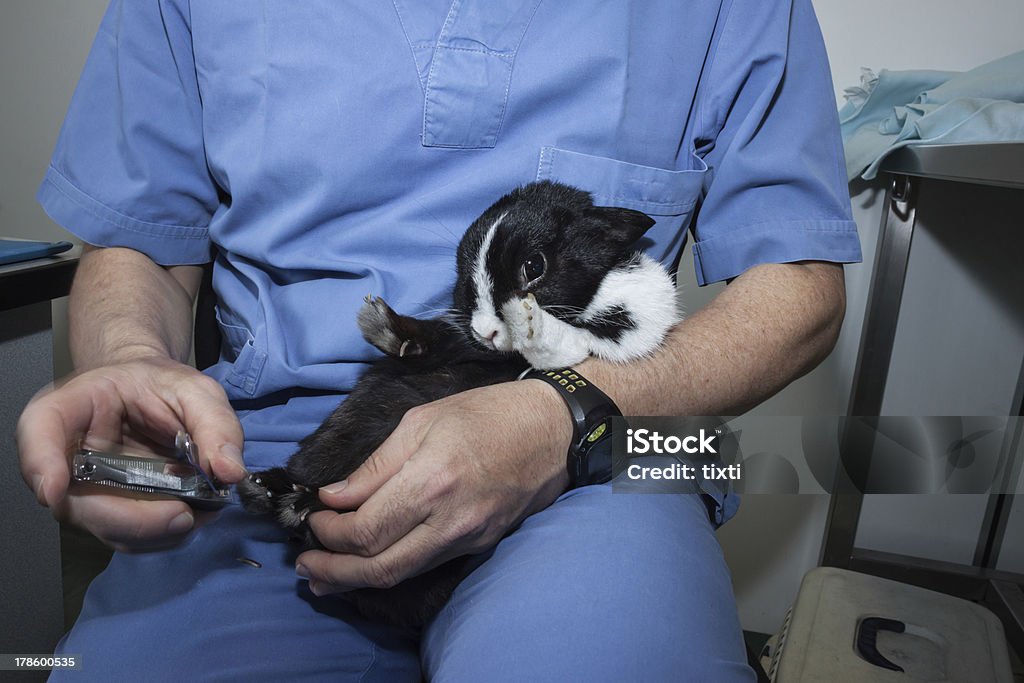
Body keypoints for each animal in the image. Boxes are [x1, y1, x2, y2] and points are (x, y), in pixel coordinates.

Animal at [237, 180, 679, 626]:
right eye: (466, 281)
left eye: (534, 266)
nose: (487, 332)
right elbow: (439, 341)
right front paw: (382, 324)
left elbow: (555, 340)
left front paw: (526, 318)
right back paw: (270, 490)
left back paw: (292, 500)